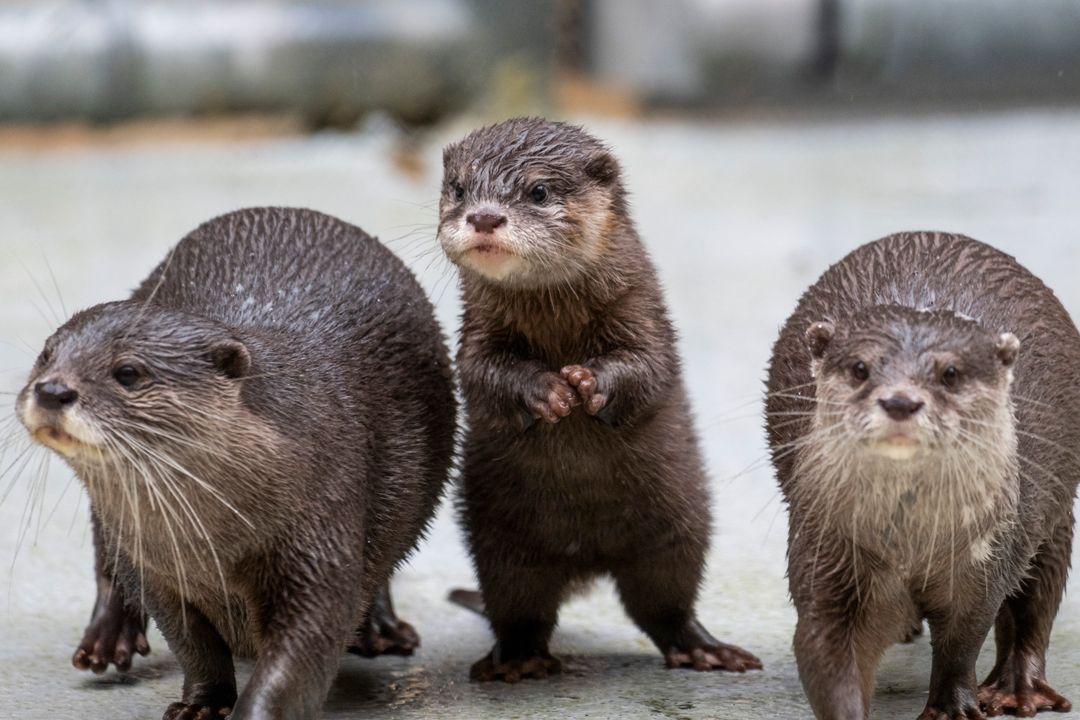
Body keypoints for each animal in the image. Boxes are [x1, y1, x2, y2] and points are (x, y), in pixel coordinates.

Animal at [16, 207, 456, 719]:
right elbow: (193, 646)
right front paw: (201, 704)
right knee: (107, 560)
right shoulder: (157, 570)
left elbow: (300, 653)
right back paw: (108, 639)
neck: (211, 549)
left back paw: (381, 629)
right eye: (46, 354)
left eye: (128, 372)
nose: (52, 389)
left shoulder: (321, 530)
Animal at [437, 117, 761, 682]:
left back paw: (705, 650)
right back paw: (516, 661)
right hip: (502, 545)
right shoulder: (477, 334)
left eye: (538, 191)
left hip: (679, 527)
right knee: (519, 609)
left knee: (665, 605)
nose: (484, 217)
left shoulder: (642, 314)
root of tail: (585, 557)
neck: (556, 320)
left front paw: (587, 383)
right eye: (458, 188)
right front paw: (547, 390)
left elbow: (647, 367)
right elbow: (483, 376)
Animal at [766, 232, 1079, 719]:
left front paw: (953, 707)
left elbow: (962, 640)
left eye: (950, 373)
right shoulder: (826, 548)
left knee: (1037, 594)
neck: (909, 546)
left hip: (1052, 511)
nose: (900, 401)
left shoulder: (986, 561)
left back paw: (1017, 689)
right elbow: (828, 647)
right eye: (860, 368)